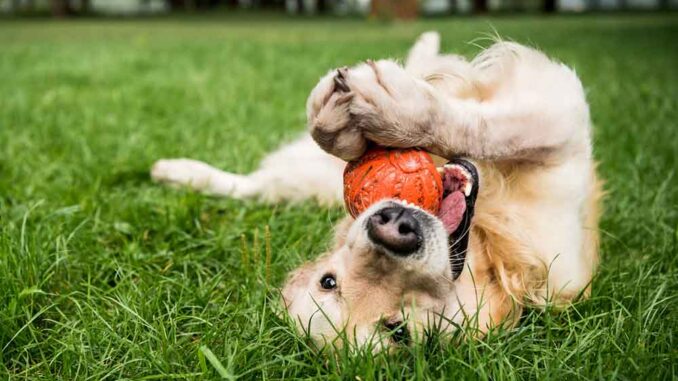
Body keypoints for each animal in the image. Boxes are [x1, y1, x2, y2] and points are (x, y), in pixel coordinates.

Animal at [151, 31, 604, 348]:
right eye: (330, 281)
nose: (393, 228)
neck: (487, 248)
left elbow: (488, 126)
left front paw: (388, 111)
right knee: (254, 187)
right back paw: (175, 171)